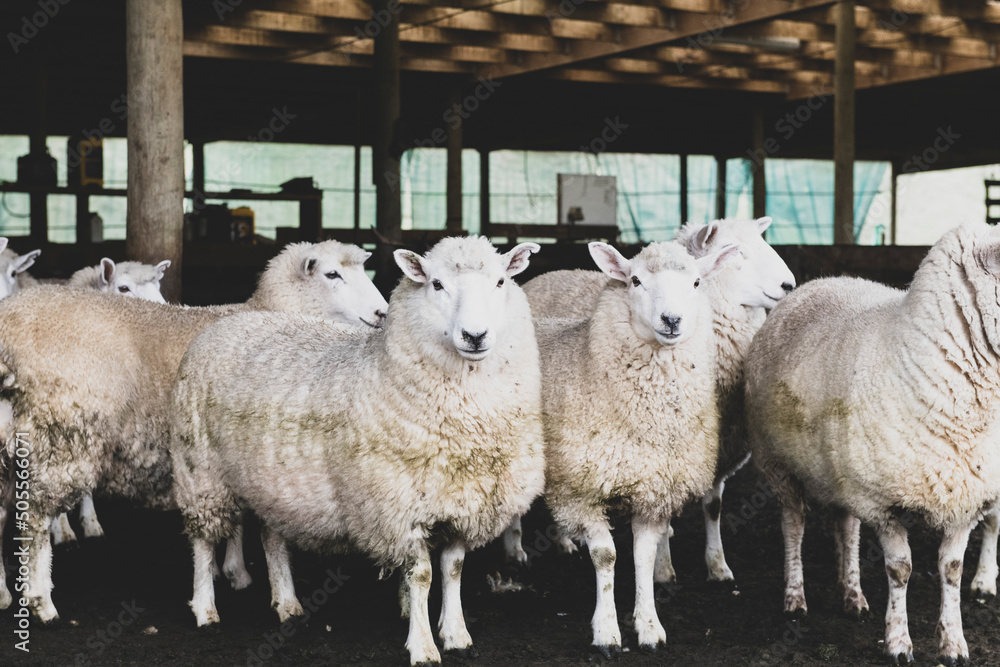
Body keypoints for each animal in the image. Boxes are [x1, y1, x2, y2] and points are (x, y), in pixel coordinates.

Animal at [0, 240, 388, 622]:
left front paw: (233, 571)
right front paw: (262, 586)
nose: (383, 313)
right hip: (61, 434)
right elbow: (267, 532)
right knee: (34, 518)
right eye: (332, 274)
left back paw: (7, 594)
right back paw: (42, 600)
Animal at [169, 237, 544, 666]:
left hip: (272, 483)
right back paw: (205, 608)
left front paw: (455, 633)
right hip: (200, 470)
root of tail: (228, 322)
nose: (475, 335)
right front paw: (423, 645)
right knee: (202, 540)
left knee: (272, 538)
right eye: (436, 284)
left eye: (501, 282)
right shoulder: (399, 508)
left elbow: (453, 569)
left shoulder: (461, 500)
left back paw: (286, 602)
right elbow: (422, 576)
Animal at [513, 217, 795, 584]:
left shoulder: (710, 450)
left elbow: (712, 507)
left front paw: (717, 565)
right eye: (736, 253)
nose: (789, 285)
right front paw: (663, 567)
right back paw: (525, 547)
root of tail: (548, 275)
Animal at [538, 239, 738, 655]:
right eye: (635, 280)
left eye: (696, 282)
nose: (672, 320)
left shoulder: (653, 489)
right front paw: (607, 631)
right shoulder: (581, 490)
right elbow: (606, 556)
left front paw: (648, 625)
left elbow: (643, 556)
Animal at [745, 222, 1000, 665]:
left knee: (846, 527)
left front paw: (953, 642)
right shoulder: (882, 502)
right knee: (793, 525)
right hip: (778, 464)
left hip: (842, 473)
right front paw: (898, 642)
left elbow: (951, 569)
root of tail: (819, 281)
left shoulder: (966, 498)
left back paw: (852, 595)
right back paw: (795, 598)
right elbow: (900, 570)